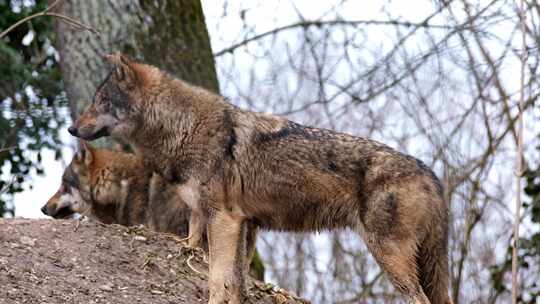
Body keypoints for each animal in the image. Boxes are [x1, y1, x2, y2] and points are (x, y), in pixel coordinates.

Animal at [69, 54, 454, 304]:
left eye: (100, 101)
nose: (72, 129)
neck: (183, 128)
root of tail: (432, 174)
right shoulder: (245, 225)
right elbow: (237, 285)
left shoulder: (222, 220)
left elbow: (217, 280)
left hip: (388, 255)